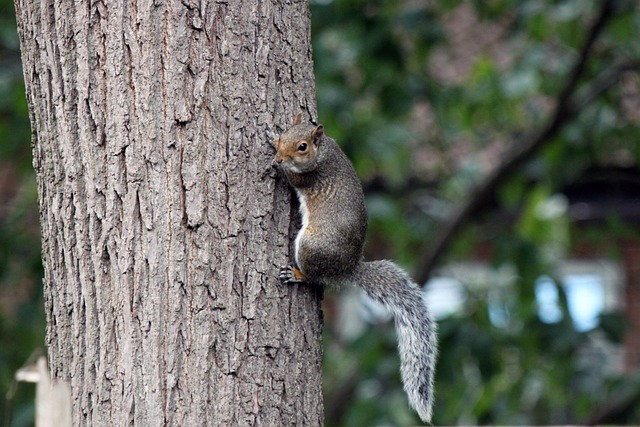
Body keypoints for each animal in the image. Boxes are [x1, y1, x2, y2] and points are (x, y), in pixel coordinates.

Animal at [270, 112, 436, 422]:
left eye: (302, 147)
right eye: (286, 134)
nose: (279, 158)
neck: (324, 152)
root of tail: (347, 268)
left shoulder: (308, 176)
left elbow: (294, 177)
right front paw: (271, 136)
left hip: (310, 245)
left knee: (314, 277)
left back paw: (297, 274)